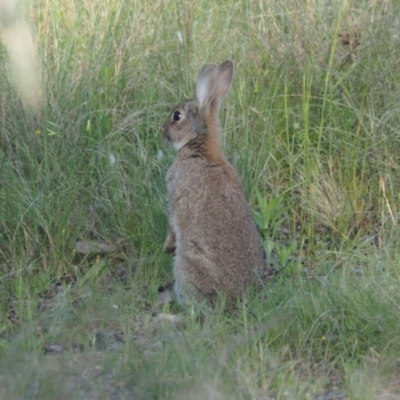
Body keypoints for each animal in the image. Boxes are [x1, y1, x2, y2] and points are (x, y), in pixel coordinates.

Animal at [161, 59, 264, 306]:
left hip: (186, 265)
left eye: (177, 116)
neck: (200, 150)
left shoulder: (176, 200)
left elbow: (174, 223)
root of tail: (235, 298)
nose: (162, 132)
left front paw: (167, 244)